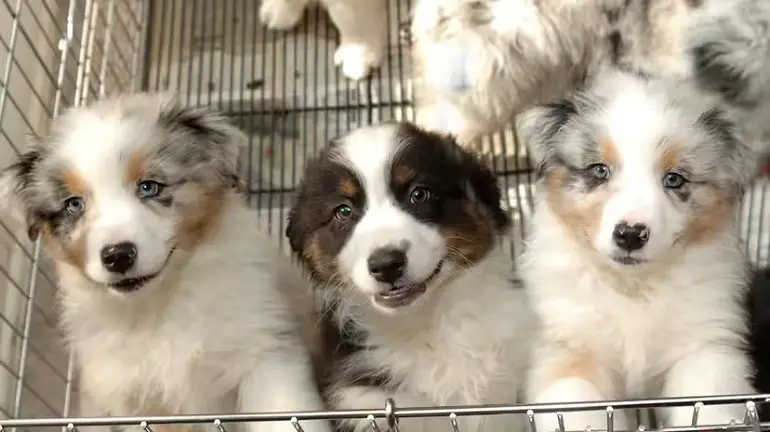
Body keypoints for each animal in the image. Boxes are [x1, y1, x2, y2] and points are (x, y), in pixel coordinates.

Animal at [0, 93, 330, 432]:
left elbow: (285, 416)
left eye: (149, 186)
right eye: (74, 205)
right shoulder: (132, 400)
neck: (160, 302)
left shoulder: (266, 355)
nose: (118, 255)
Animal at [516, 68, 756, 432]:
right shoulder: (567, 343)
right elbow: (575, 401)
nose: (630, 234)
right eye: (599, 170)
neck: (634, 287)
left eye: (674, 179)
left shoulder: (703, 343)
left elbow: (707, 401)